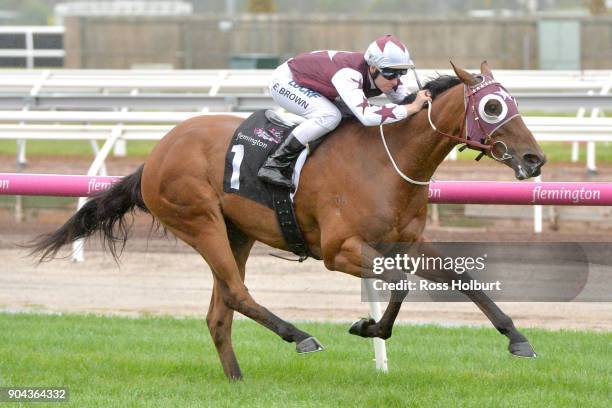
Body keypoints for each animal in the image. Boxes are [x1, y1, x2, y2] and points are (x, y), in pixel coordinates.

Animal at [31, 61, 544, 380]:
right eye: (493, 107)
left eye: (513, 102)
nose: (535, 159)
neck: (388, 161)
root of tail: (155, 155)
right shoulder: (339, 251)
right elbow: (397, 284)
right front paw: (368, 327)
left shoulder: (409, 241)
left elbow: (464, 279)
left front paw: (518, 339)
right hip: (199, 221)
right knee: (237, 294)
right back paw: (300, 336)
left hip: (235, 232)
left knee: (220, 310)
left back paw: (238, 381)